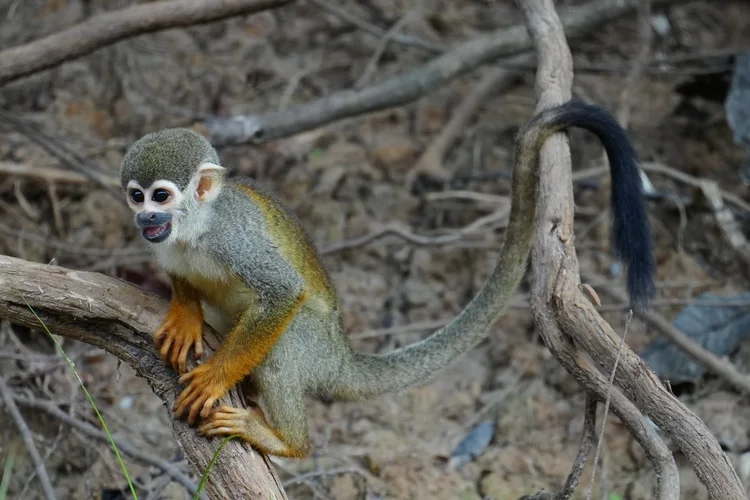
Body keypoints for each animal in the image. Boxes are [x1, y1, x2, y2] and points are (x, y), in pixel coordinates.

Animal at [120, 100, 654, 458]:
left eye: (162, 196)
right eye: (135, 195)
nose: (146, 219)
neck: (195, 229)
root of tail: (341, 356)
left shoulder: (233, 234)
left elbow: (283, 291)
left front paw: (214, 376)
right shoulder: (167, 244)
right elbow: (178, 273)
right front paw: (184, 316)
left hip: (316, 347)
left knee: (283, 350)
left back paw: (287, 442)